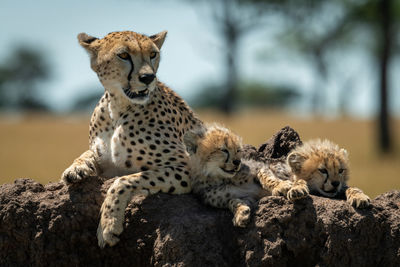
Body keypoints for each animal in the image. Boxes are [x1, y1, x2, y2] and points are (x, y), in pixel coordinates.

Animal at [62, 30, 203, 249]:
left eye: (153, 54)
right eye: (123, 55)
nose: (148, 77)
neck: (118, 107)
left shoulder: (187, 168)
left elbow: (124, 181)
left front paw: (108, 225)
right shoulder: (105, 165)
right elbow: (88, 153)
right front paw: (76, 168)